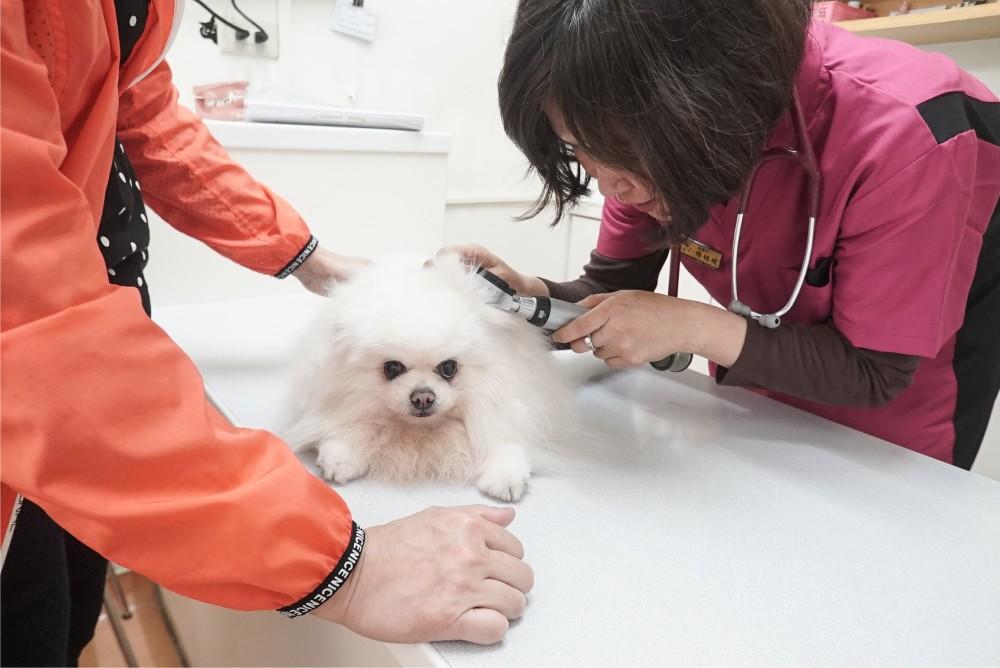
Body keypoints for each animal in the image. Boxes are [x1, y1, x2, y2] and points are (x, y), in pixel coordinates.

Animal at [286, 254, 576, 500]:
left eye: (449, 368)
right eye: (392, 368)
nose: (423, 397)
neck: (423, 433)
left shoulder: (507, 408)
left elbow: (504, 440)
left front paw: (505, 478)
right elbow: (352, 429)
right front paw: (340, 458)